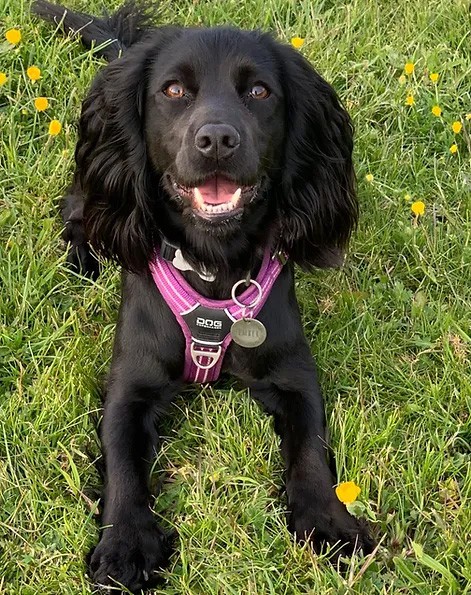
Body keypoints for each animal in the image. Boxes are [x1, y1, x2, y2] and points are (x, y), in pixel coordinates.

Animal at [33, 2, 374, 592]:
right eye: (173, 91)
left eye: (259, 91)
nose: (216, 139)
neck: (214, 267)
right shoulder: (129, 385)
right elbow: (123, 460)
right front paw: (126, 546)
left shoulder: (294, 374)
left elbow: (311, 447)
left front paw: (329, 523)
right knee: (80, 209)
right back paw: (82, 258)